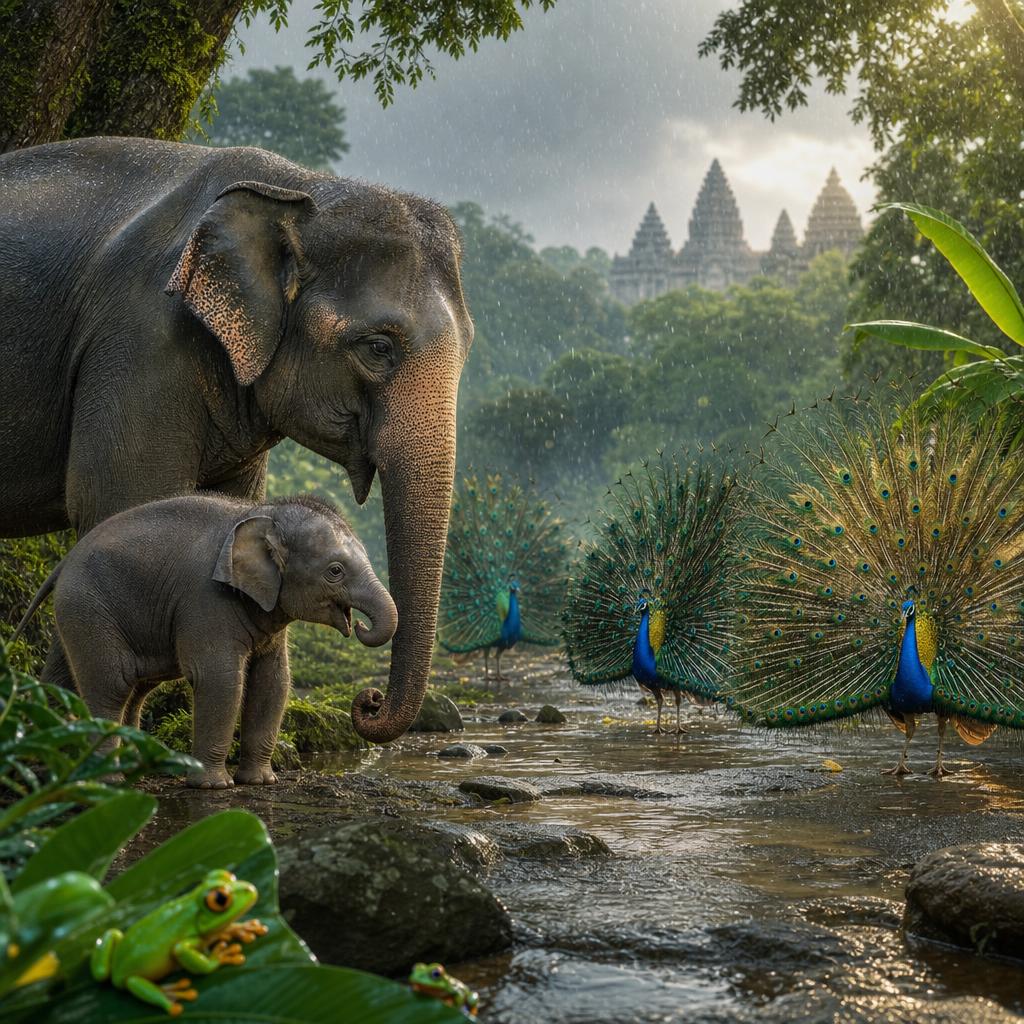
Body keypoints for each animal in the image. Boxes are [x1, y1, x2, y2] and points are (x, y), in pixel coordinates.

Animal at [0, 137, 473, 743]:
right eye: (378, 348)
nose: (365, 704)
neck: (299, 188)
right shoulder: (141, 342)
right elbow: (117, 504)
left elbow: (230, 506)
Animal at [12, 493, 397, 788]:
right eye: (335, 571)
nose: (359, 626)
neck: (261, 512)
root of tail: (64, 560)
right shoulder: (205, 599)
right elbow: (221, 679)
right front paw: (215, 786)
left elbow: (272, 681)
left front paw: (260, 782)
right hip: (88, 609)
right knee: (112, 685)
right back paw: (109, 779)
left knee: (129, 689)